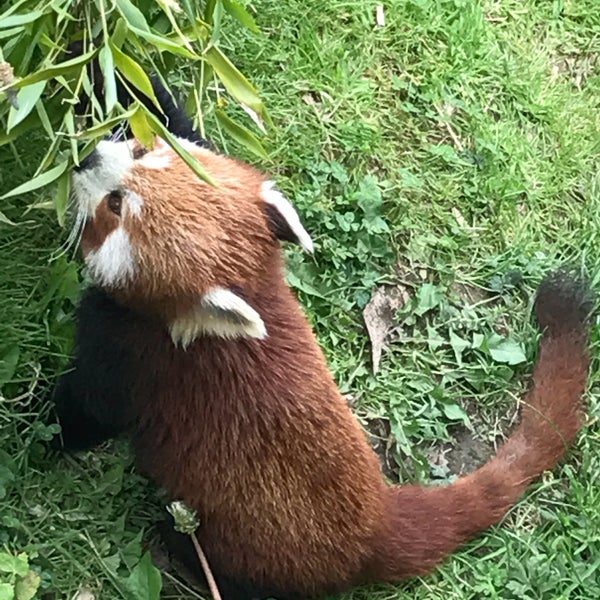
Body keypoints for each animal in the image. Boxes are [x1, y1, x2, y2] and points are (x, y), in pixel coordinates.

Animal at [54, 132, 592, 600]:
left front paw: (50, 434)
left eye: (115, 205)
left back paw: (177, 544)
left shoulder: (138, 358)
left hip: (253, 548)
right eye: (140, 150)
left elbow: (90, 412)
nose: (86, 158)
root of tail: (377, 521)